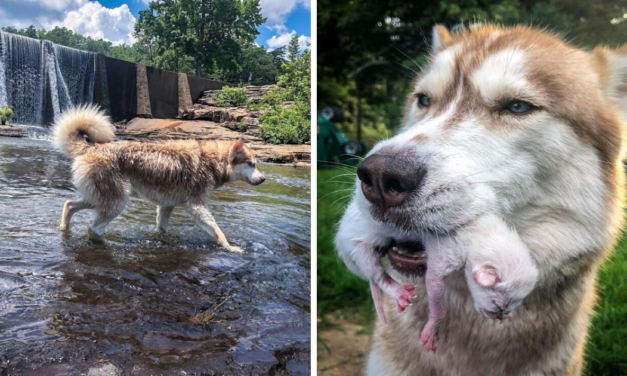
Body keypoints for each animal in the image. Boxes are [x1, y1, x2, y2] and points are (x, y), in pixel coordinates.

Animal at [52, 106, 266, 253]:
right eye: (251, 163)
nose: (264, 178)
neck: (212, 161)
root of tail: (93, 147)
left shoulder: (166, 206)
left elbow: (162, 228)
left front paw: (163, 239)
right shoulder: (196, 206)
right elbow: (217, 230)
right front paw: (229, 247)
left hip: (98, 197)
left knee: (69, 204)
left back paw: (63, 227)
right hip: (117, 201)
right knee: (93, 227)